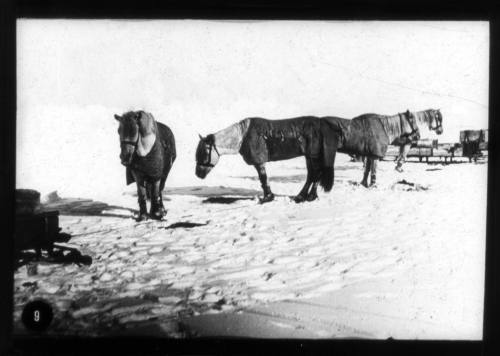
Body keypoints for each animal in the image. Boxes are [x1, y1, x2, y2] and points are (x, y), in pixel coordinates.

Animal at [193, 117, 342, 203]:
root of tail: (324, 125)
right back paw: (303, 196)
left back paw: (308, 197)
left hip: (313, 156)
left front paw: (267, 197)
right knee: (312, 175)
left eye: (204, 152)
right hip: (310, 156)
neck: (243, 135)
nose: (198, 174)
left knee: (316, 174)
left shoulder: (259, 162)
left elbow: (263, 178)